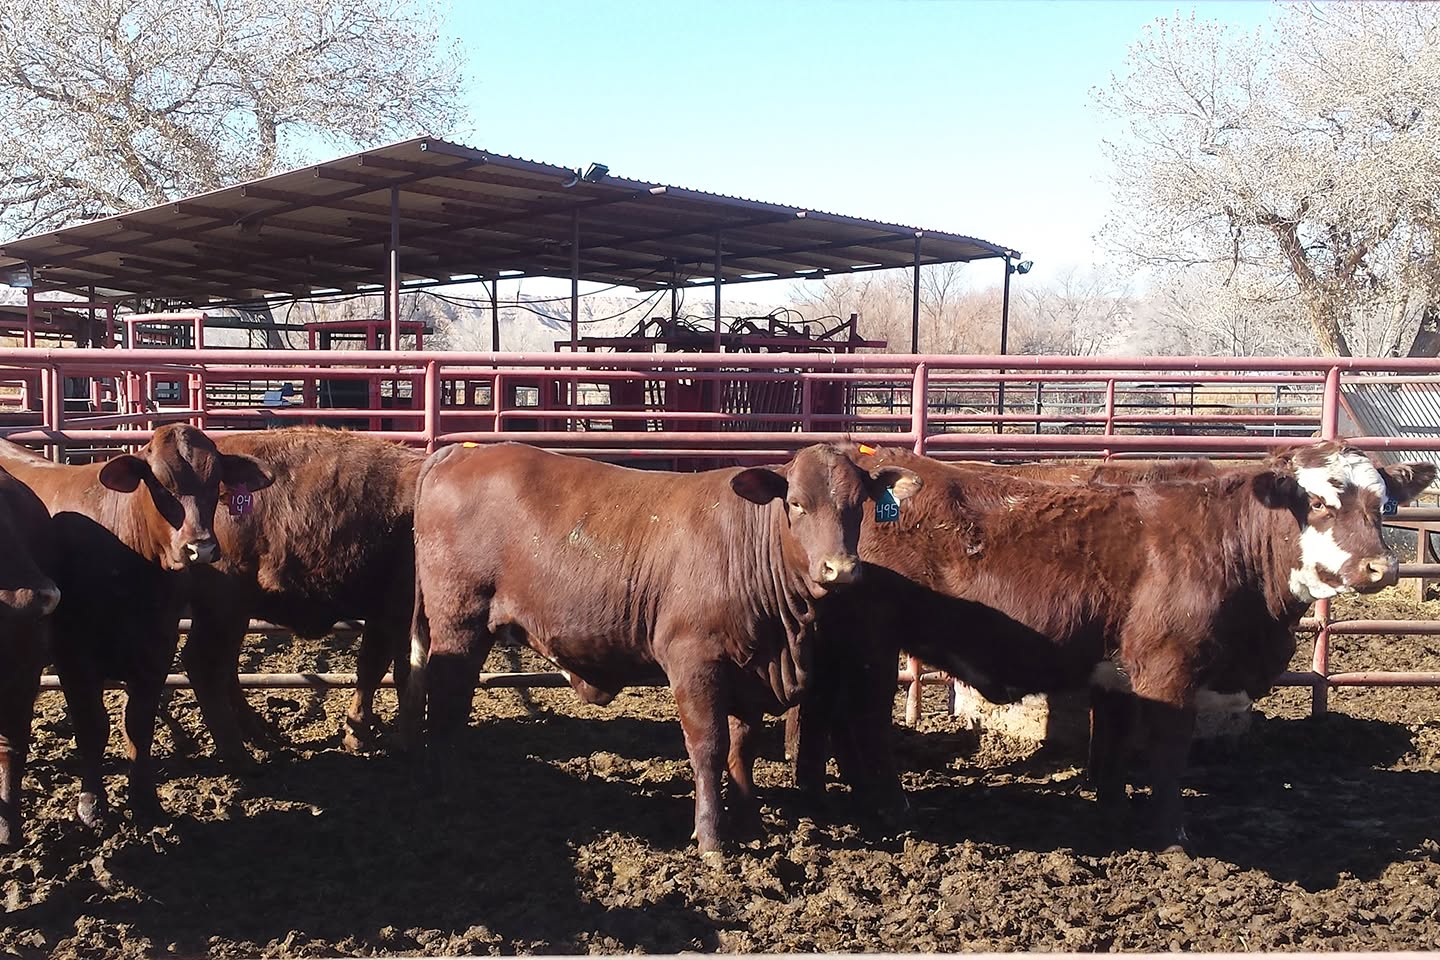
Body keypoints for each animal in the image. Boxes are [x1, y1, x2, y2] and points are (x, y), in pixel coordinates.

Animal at [0, 425, 273, 829]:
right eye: (160, 484)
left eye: (215, 482)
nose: (201, 548)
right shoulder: (74, 656)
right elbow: (93, 727)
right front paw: (92, 804)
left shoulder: (157, 649)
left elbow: (138, 725)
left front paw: (146, 800)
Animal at [181, 428, 424, 760]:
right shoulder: (395, 614)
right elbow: (389, 670)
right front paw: (377, 737)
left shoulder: (389, 616)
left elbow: (380, 670)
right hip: (223, 608)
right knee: (203, 663)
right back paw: (237, 753)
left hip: (234, 614)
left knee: (225, 665)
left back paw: (258, 732)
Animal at [403, 441, 920, 858]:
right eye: (796, 503)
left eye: (859, 505)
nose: (841, 569)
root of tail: (459, 452)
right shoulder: (694, 663)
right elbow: (709, 747)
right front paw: (712, 839)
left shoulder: (747, 668)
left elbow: (743, 747)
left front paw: (751, 823)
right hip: (459, 624)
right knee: (447, 704)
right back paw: (447, 788)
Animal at [781, 442, 1434, 850]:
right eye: (1319, 501)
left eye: (1384, 505)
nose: (1382, 566)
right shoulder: (1169, 670)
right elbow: (1167, 754)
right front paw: (1171, 835)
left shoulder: (1119, 672)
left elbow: (1115, 746)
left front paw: (1112, 811)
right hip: (873, 642)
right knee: (863, 718)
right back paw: (890, 804)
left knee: (824, 713)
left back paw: (827, 793)